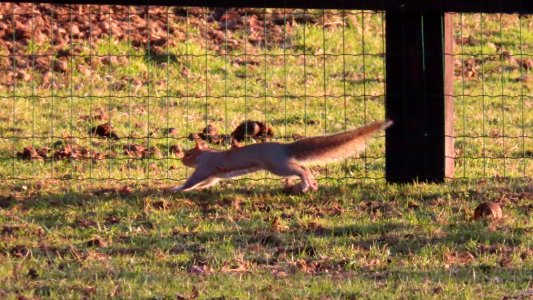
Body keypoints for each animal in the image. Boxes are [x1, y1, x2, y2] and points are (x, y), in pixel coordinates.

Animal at [170, 119, 390, 192]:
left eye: (188, 154)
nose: (181, 159)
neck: (208, 155)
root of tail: (284, 148)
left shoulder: (205, 167)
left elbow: (193, 181)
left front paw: (177, 188)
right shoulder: (213, 173)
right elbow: (207, 182)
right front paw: (193, 188)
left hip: (278, 166)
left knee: (301, 169)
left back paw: (306, 183)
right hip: (282, 166)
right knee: (302, 168)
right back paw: (310, 184)